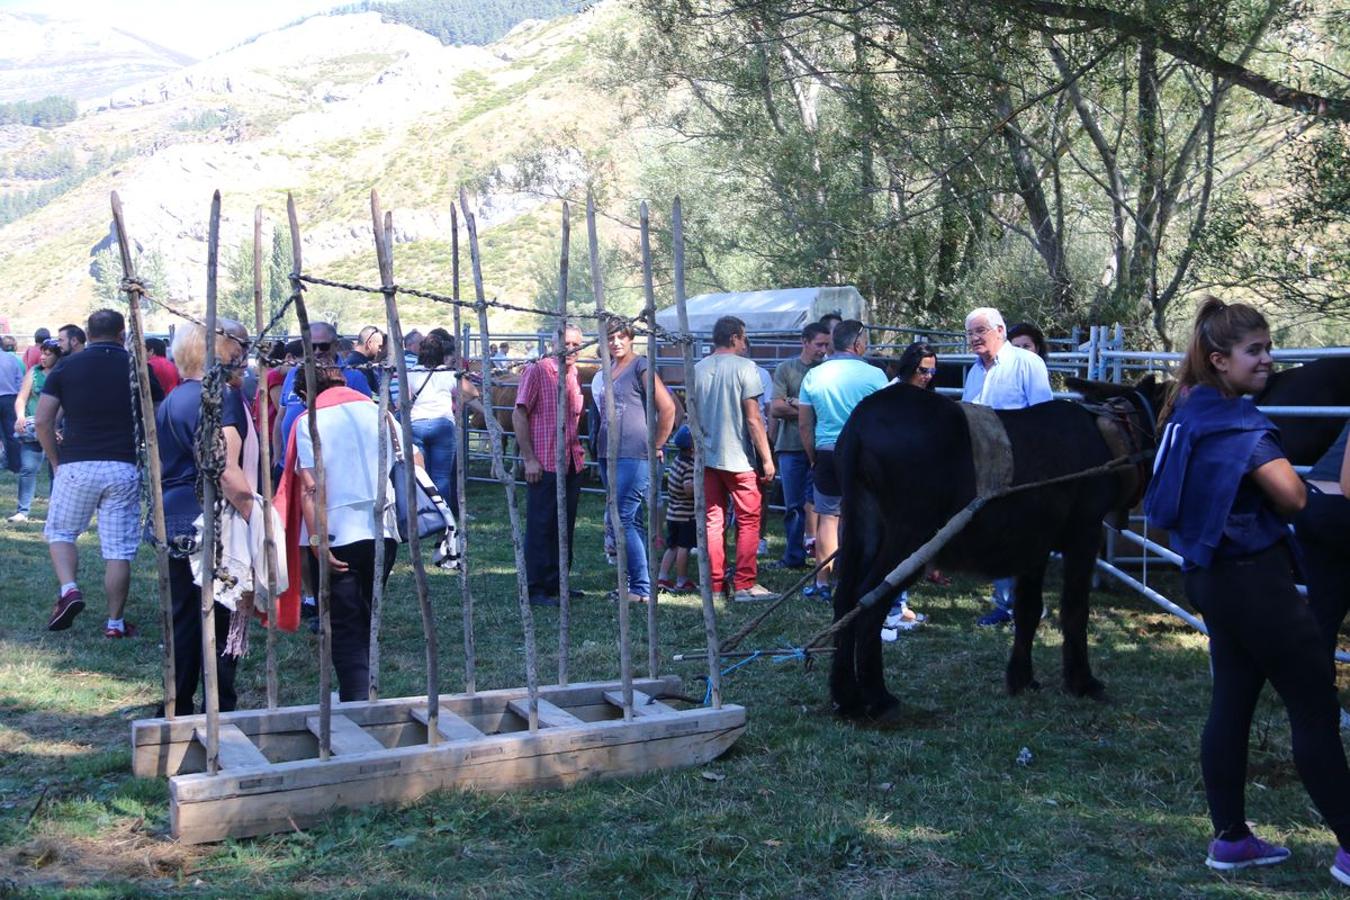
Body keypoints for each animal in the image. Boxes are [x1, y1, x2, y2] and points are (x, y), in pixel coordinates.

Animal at [826, 372, 1166, 723]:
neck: (1113, 434)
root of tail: (861, 421)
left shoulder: (1036, 545)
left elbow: (1028, 610)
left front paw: (1021, 679)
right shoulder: (1085, 534)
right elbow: (1075, 610)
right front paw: (1082, 681)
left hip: (861, 529)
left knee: (846, 599)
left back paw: (846, 697)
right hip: (911, 536)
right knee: (870, 601)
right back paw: (879, 698)